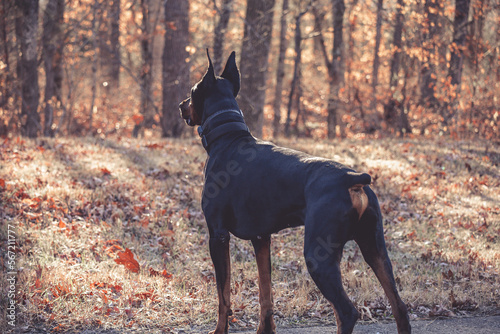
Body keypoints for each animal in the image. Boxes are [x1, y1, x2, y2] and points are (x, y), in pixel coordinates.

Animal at [180, 50, 410, 334]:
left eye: (193, 90)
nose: (181, 105)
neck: (228, 137)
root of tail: (353, 178)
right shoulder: (261, 237)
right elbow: (265, 291)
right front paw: (265, 330)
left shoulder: (218, 234)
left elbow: (223, 295)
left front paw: (219, 330)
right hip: (374, 247)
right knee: (399, 307)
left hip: (318, 255)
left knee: (347, 312)